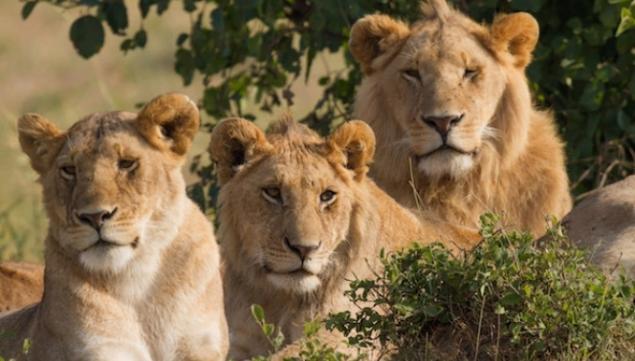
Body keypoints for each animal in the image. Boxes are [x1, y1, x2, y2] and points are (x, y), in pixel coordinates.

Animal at [0, 93, 229, 360]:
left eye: (126, 163)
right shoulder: (101, 349)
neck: (138, 280)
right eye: (69, 170)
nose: (95, 216)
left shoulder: (200, 346)